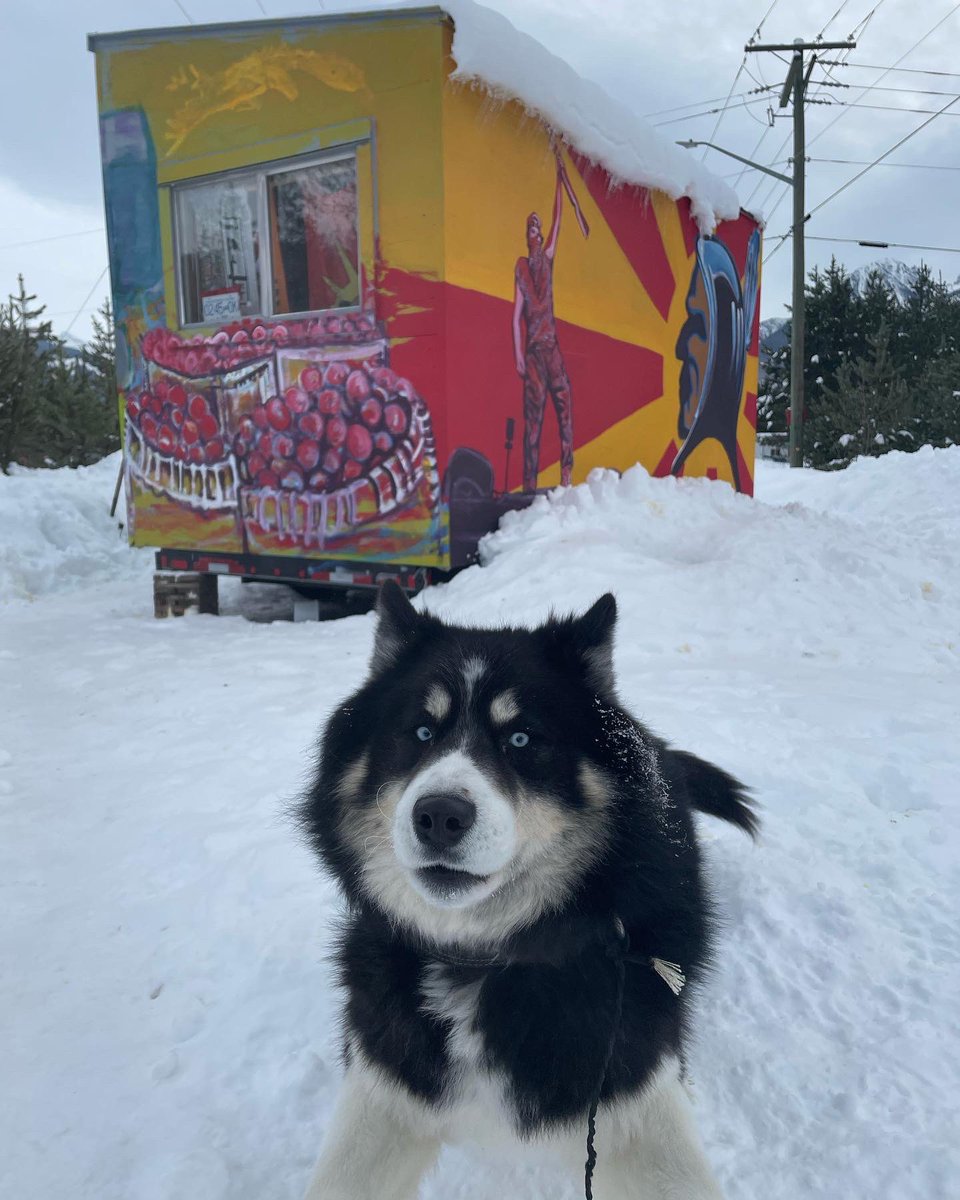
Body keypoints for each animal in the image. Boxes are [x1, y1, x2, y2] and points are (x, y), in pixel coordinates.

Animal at [300, 580, 758, 1200]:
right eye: (421, 731)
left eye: (520, 738)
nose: (438, 816)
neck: (479, 960)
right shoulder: (387, 1079)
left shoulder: (631, 1092)